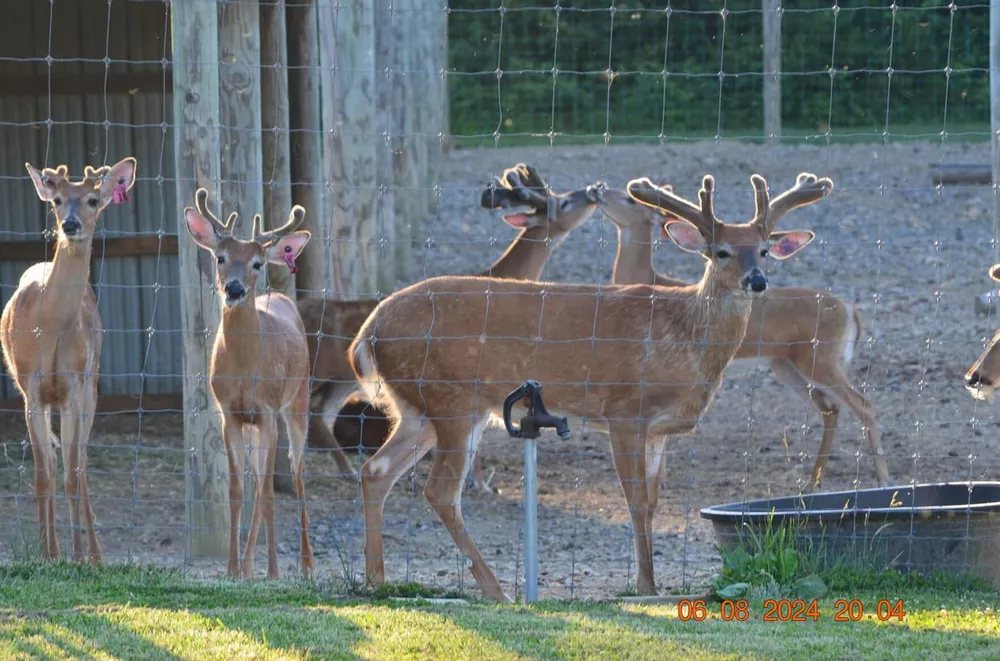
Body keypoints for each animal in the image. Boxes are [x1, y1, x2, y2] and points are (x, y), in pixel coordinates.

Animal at [0, 156, 138, 564]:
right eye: (58, 200)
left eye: (93, 200)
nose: (70, 224)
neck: (48, 328)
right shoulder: (31, 389)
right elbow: (42, 473)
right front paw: (47, 554)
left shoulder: (74, 388)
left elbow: (72, 473)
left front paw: (78, 556)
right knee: (54, 461)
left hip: (91, 386)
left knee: (82, 463)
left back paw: (93, 553)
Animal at [182, 186, 314, 576]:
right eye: (221, 257)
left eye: (257, 263)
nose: (235, 289)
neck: (244, 369)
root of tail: (281, 296)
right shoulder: (229, 413)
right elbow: (237, 491)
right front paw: (232, 570)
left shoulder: (268, 409)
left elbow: (270, 493)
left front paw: (273, 572)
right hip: (255, 424)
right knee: (256, 477)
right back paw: (249, 563)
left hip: (298, 400)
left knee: (298, 472)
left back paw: (305, 564)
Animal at [292, 164, 596, 490]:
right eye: (563, 202)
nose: (592, 192)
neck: (499, 274)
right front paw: (479, 483)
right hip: (318, 371)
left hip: (343, 379)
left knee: (320, 413)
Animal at [348, 169, 832, 600]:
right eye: (721, 251)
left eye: (765, 251)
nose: (758, 281)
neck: (684, 341)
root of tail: (368, 332)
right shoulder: (624, 410)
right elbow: (635, 501)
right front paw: (645, 586)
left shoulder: (659, 430)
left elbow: (653, 502)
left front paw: (650, 580)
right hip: (452, 397)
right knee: (440, 490)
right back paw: (494, 589)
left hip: (418, 406)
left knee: (375, 470)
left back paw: (377, 580)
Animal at [588, 183, 888, 488]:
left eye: (628, 199)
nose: (596, 188)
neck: (649, 279)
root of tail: (851, 310)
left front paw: (660, 479)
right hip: (787, 365)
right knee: (830, 408)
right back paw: (813, 481)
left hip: (822, 357)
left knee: (864, 404)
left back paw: (882, 478)